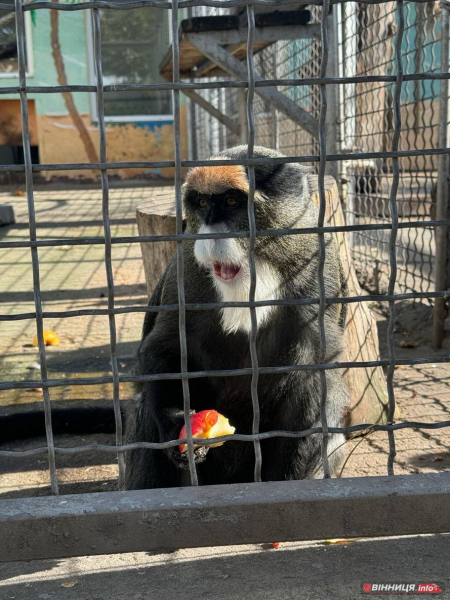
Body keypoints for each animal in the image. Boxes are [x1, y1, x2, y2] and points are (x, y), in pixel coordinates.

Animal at [125, 146, 350, 492]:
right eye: (203, 204)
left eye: (232, 202)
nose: (209, 234)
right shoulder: (186, 273)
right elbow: (165, 348)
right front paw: (174, 422)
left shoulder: (318, 269)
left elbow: (312, 382)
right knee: (142, 410)